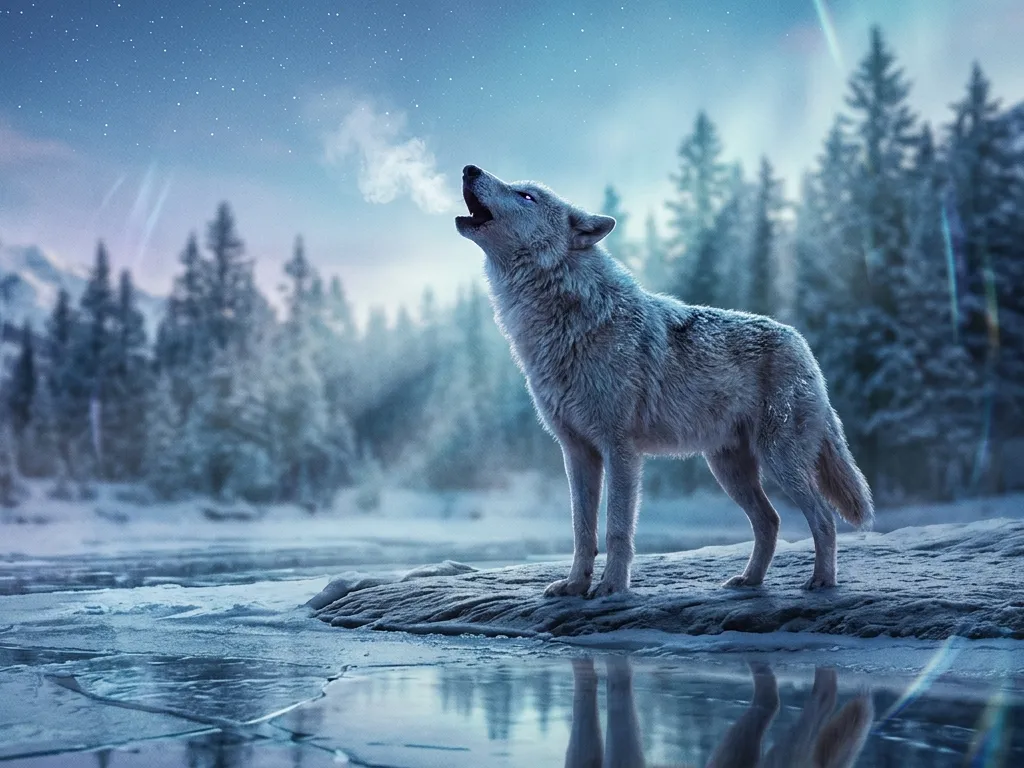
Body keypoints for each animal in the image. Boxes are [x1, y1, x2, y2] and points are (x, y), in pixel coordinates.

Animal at [455, 164, 873, 597]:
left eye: (526, 196)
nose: (470, 169)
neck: (567, 321)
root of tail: (802, 344)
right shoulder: (577, 452)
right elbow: (582, 531)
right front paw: (574, 585)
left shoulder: (620, 449)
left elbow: (617, 529)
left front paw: (612, 586)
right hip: (728, 470)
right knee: (770, 521)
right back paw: (749, 580)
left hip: (779, 462)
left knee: (823, 518)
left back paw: (822, 581)